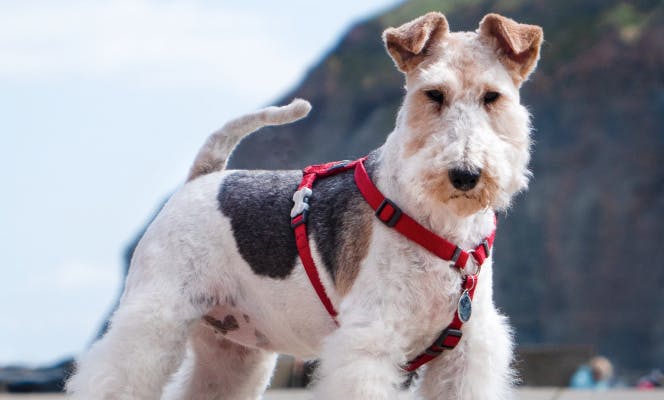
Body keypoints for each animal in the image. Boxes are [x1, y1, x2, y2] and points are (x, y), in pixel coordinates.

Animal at [67, 10, 544, 398]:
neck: (439, 223)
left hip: (232, 352)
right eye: (433, 95)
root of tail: (203, 178)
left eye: (492, 96)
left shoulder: (465, 356)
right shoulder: (370, 342)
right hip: (153, 323)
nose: (465, 175)